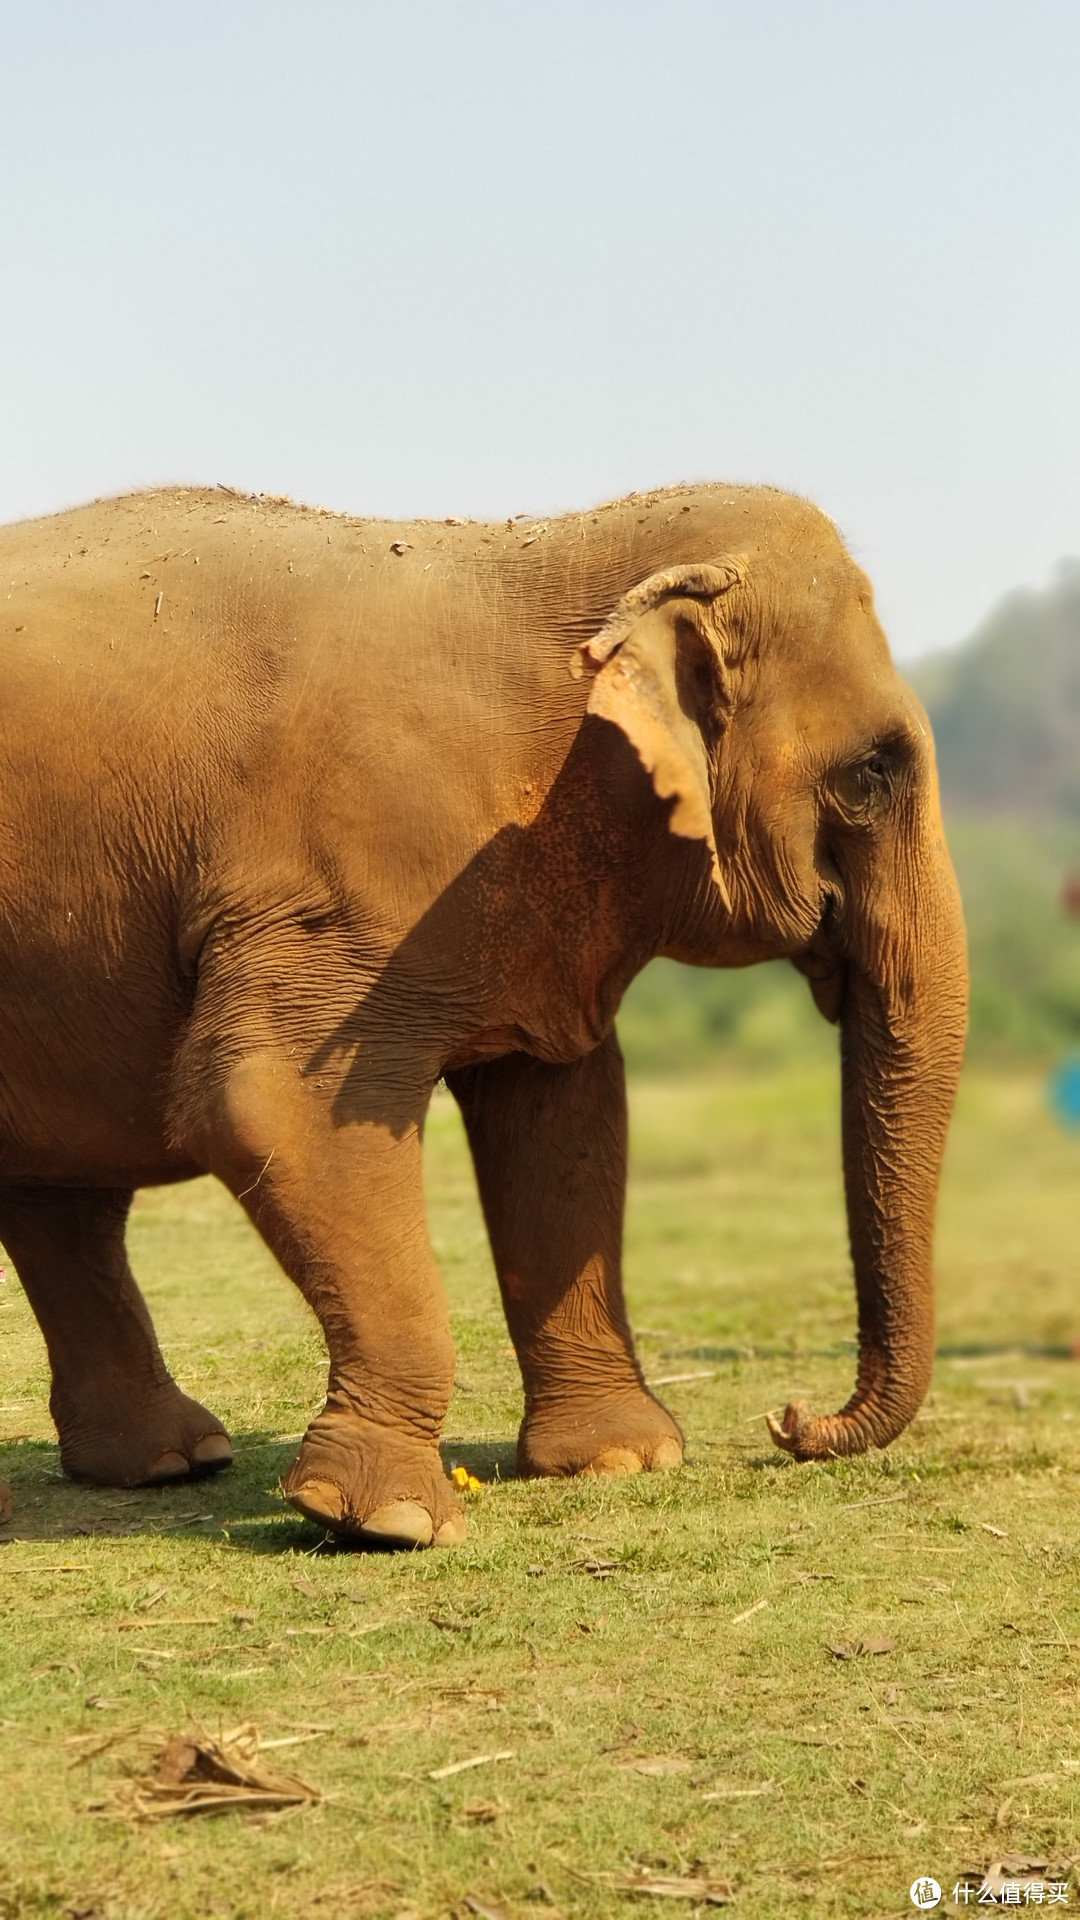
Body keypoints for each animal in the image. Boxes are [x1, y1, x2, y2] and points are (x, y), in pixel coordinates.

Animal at [0, 483, 968, 1543]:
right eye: (873, 771)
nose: (789, 1421)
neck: (566, 555)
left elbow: (565, 1119)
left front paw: (620, 1461)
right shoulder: (342, 883)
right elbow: (271, 1104)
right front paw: (383, 1522)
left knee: (67, 1201)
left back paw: (172, 1462)